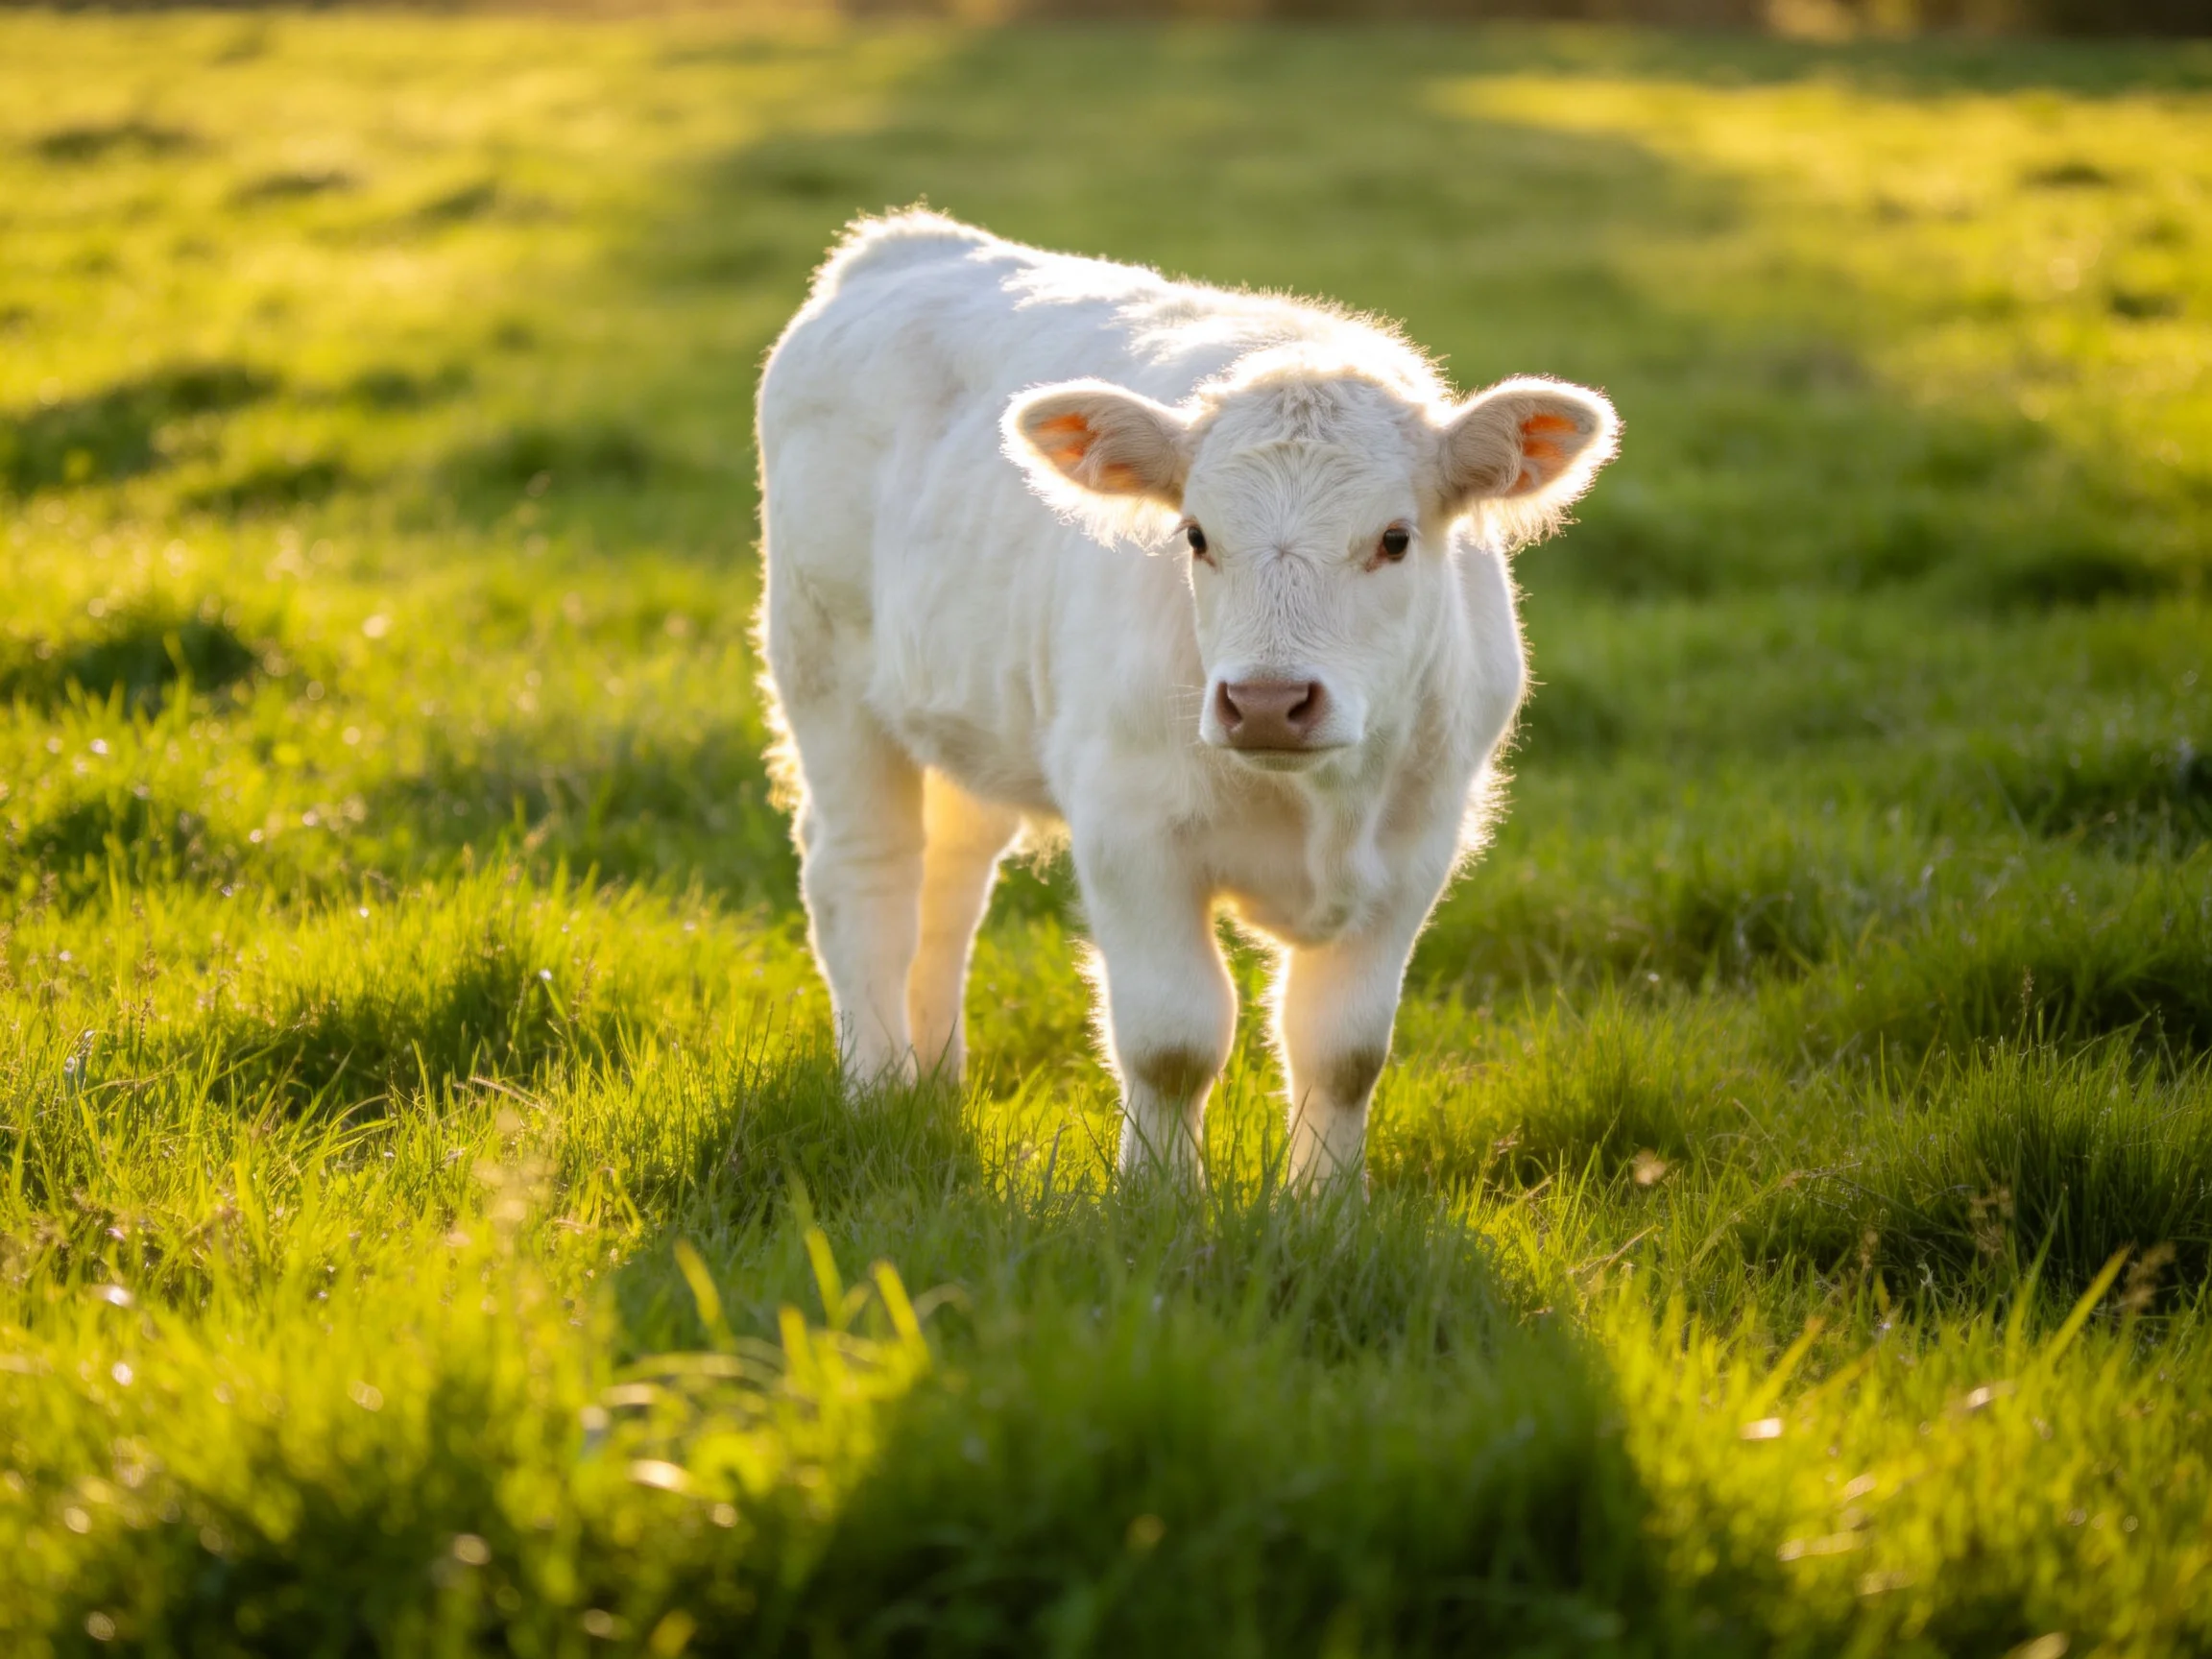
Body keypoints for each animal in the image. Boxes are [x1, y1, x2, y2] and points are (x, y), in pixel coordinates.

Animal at [755, 210, 1617, 1184]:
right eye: (1197, 535)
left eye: (1395, 539)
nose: (1270, 700)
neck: (1314, 805)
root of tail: (901, 242)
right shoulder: (1128, 830)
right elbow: (1173, 1041)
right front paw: (1159, 1197)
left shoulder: (1417, 844)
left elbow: (1345, 1050)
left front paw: (1326, 1204)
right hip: (823, 668)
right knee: (866, 874)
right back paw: (874, 1092)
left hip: (967, 713)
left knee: (951, 879)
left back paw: (931, 1086)